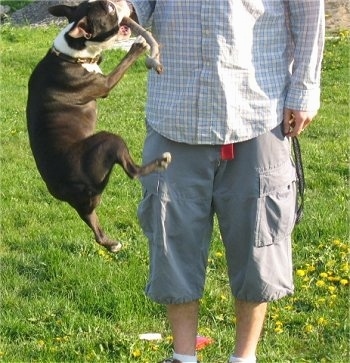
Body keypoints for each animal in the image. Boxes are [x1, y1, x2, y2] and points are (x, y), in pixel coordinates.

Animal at [26, 0, 171, 253]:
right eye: (110, 10)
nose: (123, 2)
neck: (72, 53)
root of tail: (62, 186)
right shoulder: (104, 84)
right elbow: (121, 66)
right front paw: (138, 46)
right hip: (108, 140)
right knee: (132, 171)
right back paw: (161, 161)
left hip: (85, 204)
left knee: (93, 224)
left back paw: (111, 244)